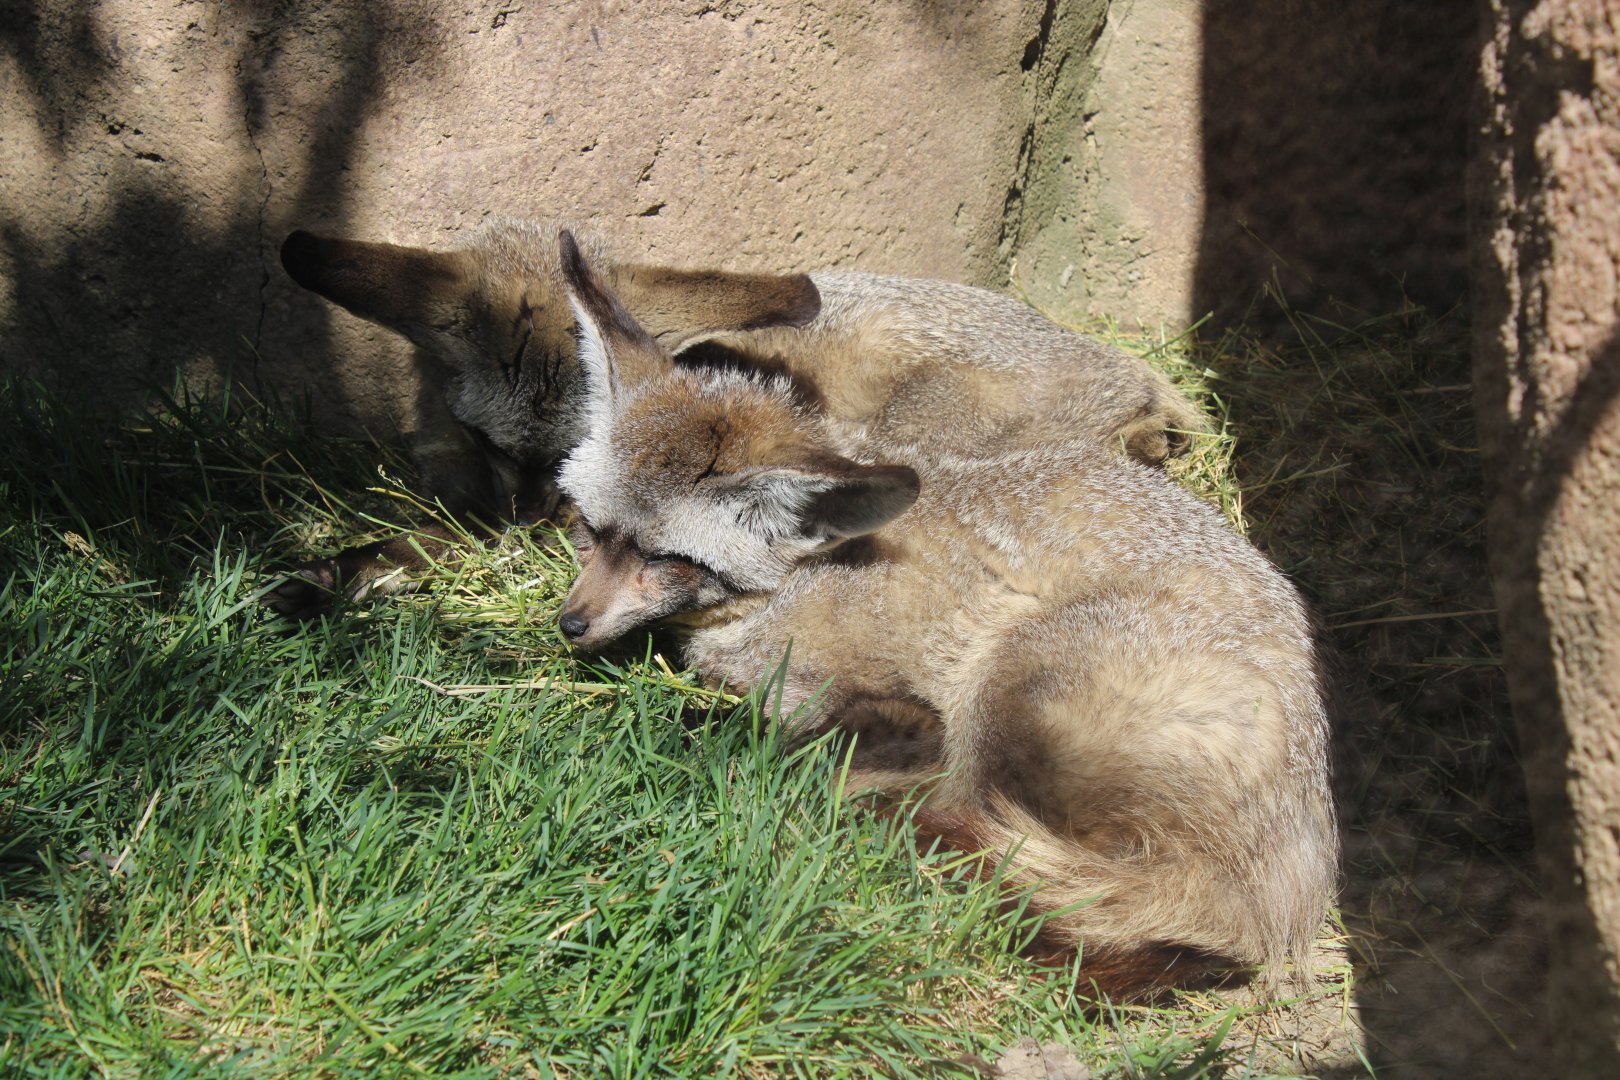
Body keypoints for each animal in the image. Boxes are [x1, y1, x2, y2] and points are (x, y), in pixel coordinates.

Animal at [267, 217, 1204, 617]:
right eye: (490, 442)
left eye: (563, 465)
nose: (532, 514)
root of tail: (1127, 366)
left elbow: (450, 539)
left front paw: (345, 569)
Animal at [551, 229, 1337, 999]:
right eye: (590, 530)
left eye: (667, 559)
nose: (570, 625)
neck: (798, 585)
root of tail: (1286, 901)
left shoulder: (894, 697)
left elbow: (758, 730)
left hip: (1011, 682)